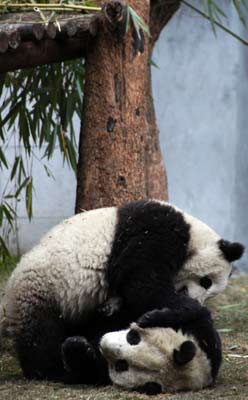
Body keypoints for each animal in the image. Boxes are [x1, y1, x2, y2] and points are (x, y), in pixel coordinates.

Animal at [0, 198, 244, 390]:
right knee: (41, 337)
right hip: (40, 290)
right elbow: (142, 286)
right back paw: (56, 368)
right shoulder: (155, 228)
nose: (196, 299)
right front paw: (177, 311)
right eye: (206, 281)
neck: (194, 232)